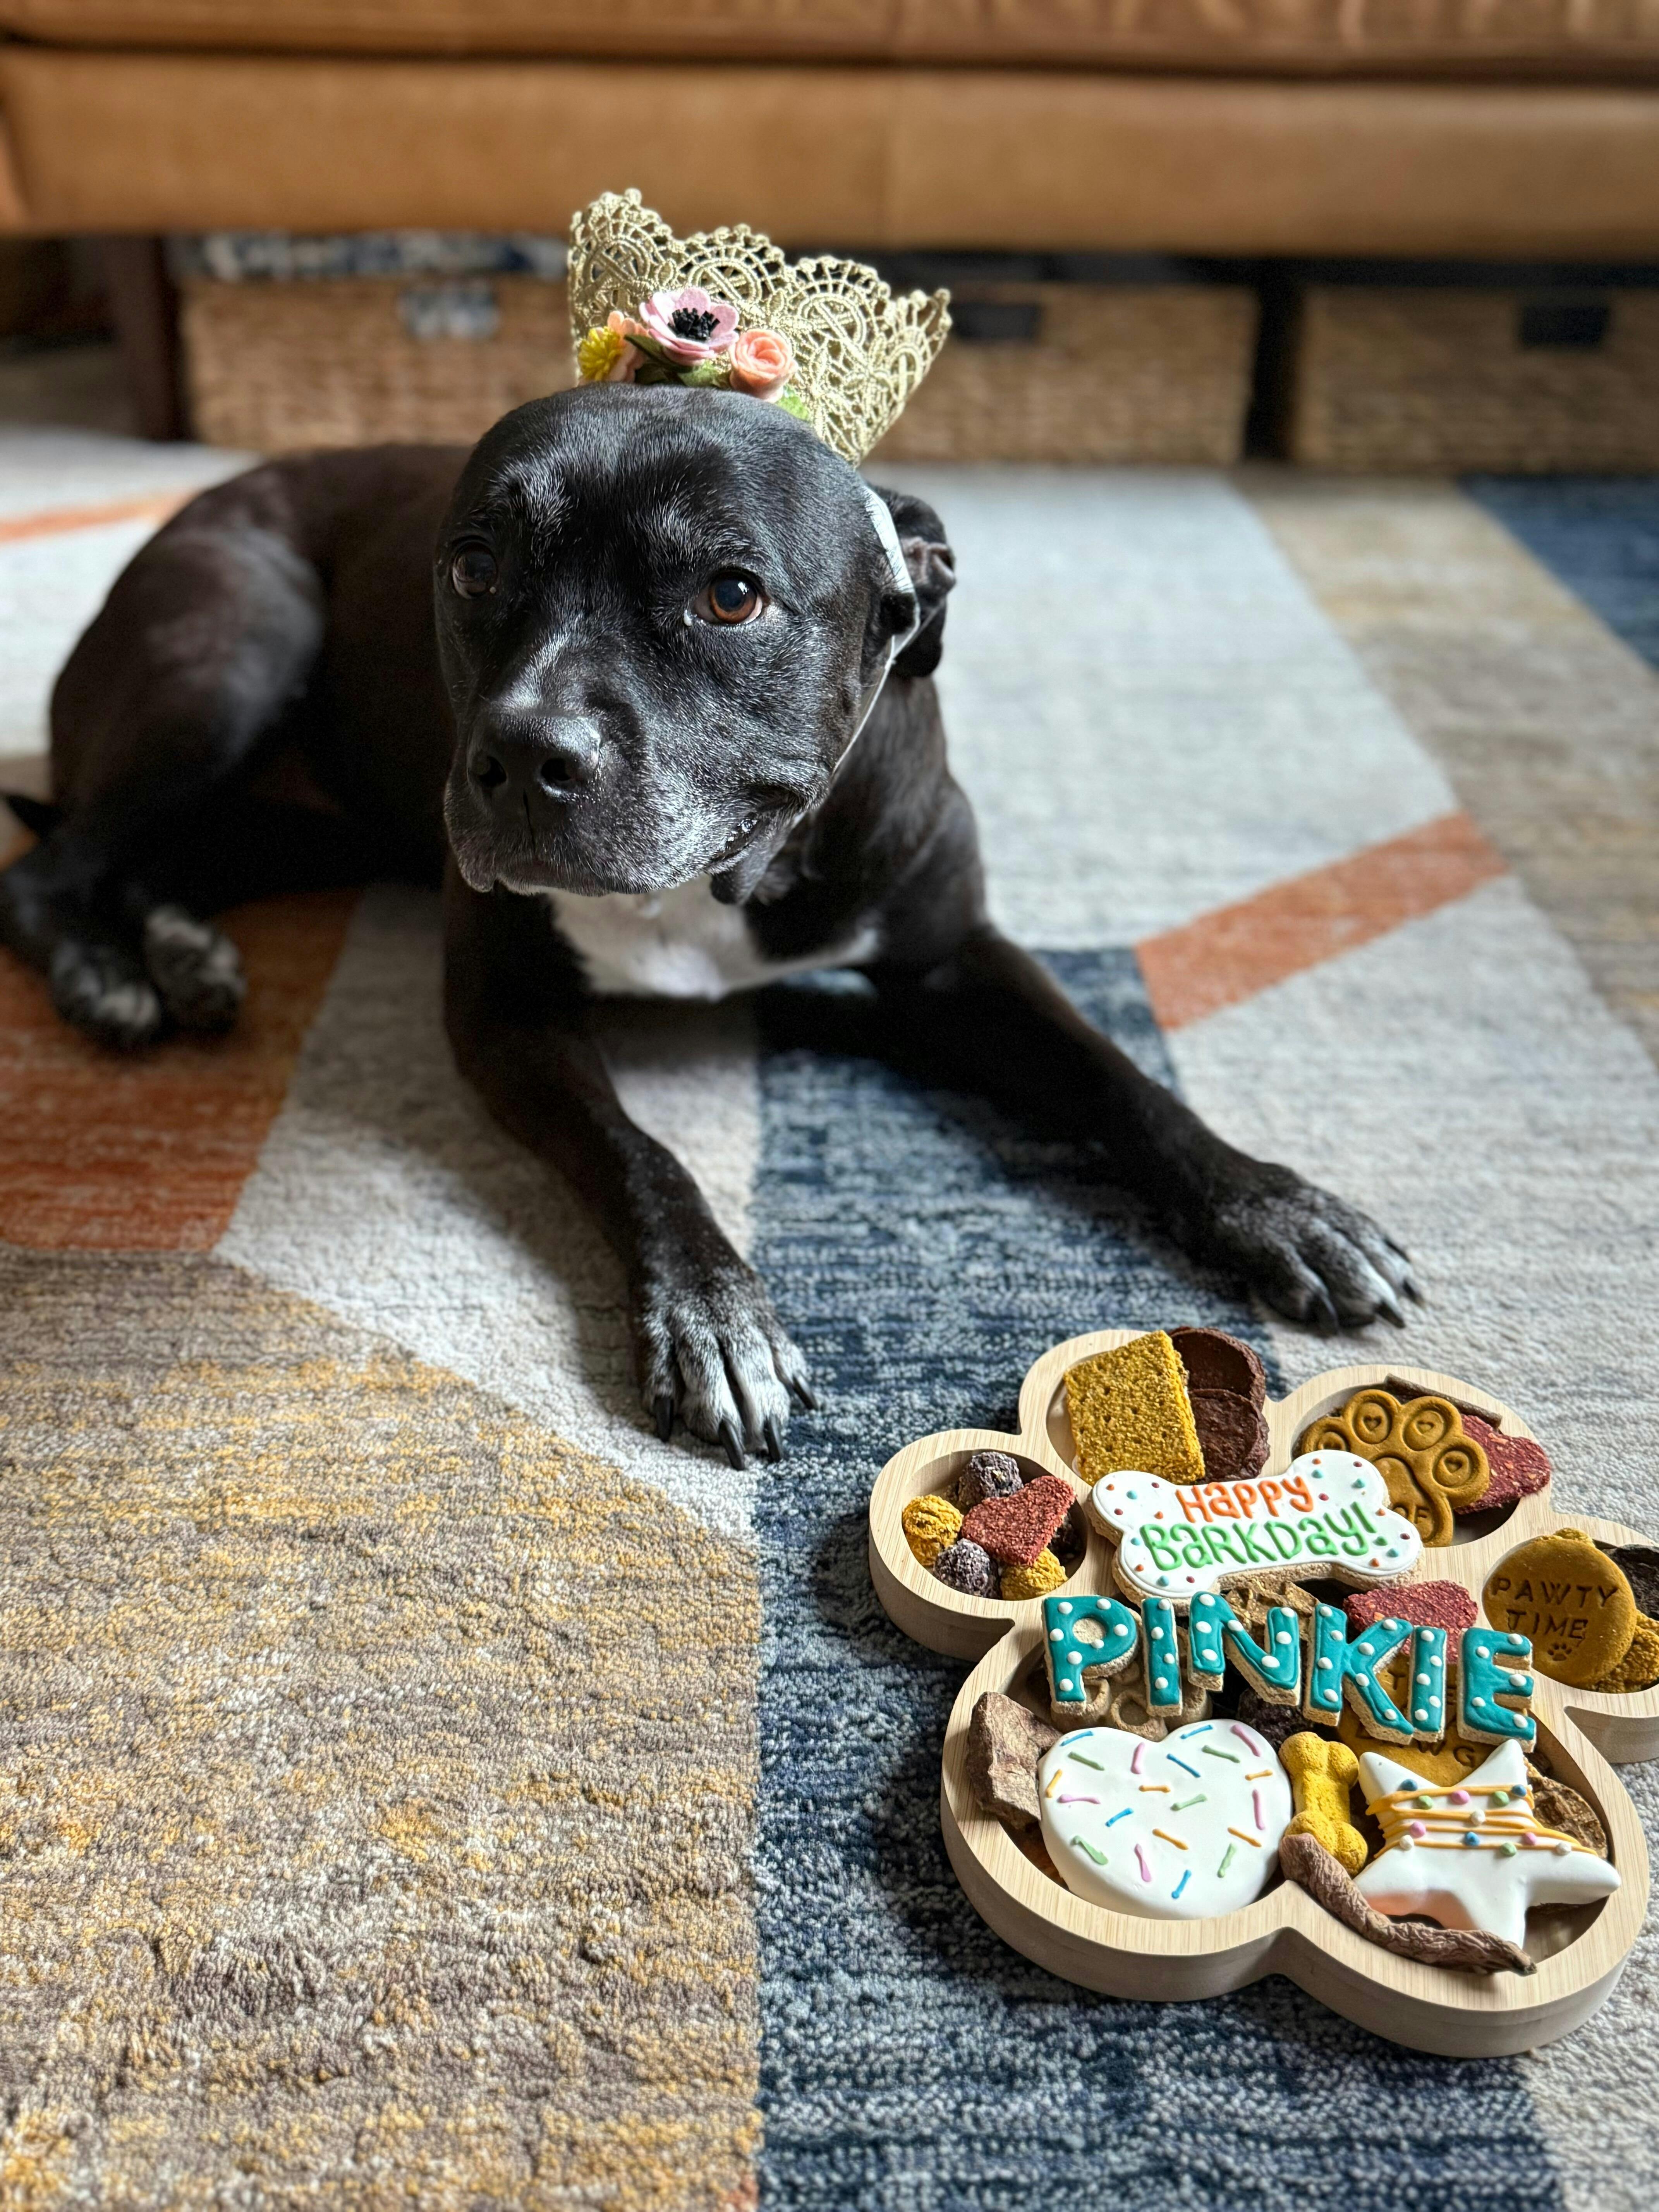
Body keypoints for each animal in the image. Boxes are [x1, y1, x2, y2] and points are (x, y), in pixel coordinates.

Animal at [0, 383, 1416, 1465]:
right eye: (475, 567)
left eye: (731, 595)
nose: (522, 757)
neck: (725, 872)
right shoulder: (507, 1014)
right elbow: (641, 1155)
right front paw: (715, 1316)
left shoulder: (953, 963)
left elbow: (1115, 1075)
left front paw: (1274, 1206)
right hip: (233, 654)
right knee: (58, 865)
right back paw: (111, 976)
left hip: (321, 813)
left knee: (163, 856)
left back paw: (179, 949)